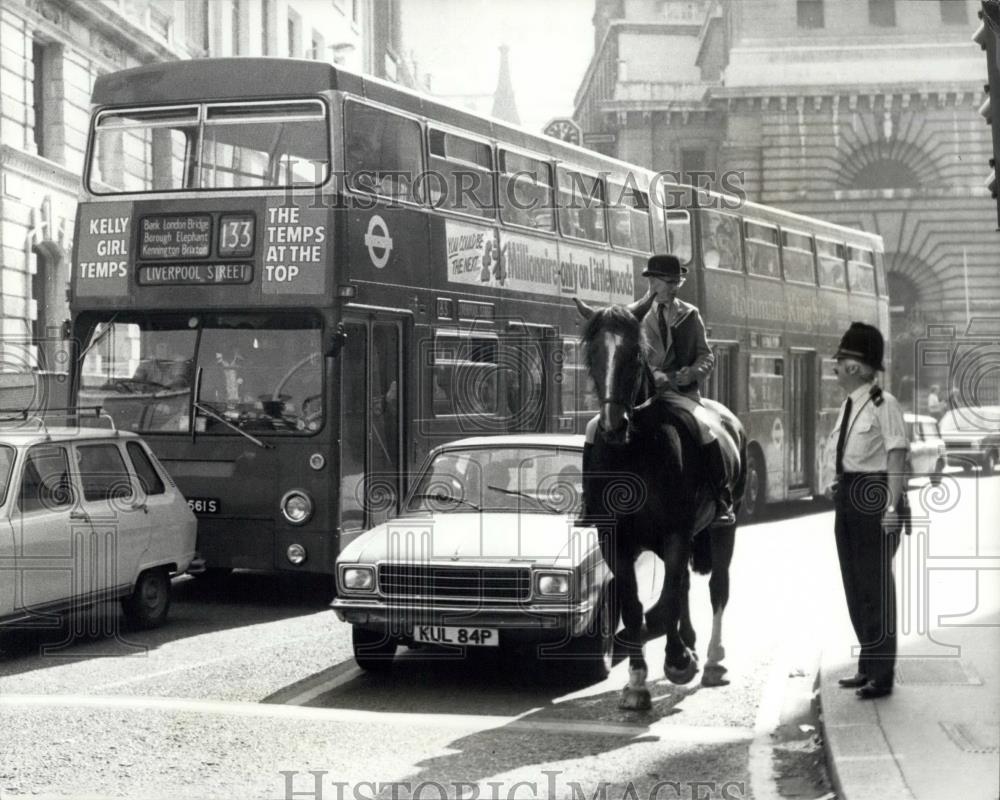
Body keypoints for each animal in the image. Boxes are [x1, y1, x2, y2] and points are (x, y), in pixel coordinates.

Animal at [576, 296, 748, 712]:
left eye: (635, 355)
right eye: (592, 354)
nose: (613, 425)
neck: (632, 452)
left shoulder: (675, 534)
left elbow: (667, 598)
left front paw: (677, 660)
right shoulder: (614, 541)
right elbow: (633, 604)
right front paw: (637, 682)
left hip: (725, 526)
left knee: (717, 587)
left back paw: (711, 661)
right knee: (682, 583)